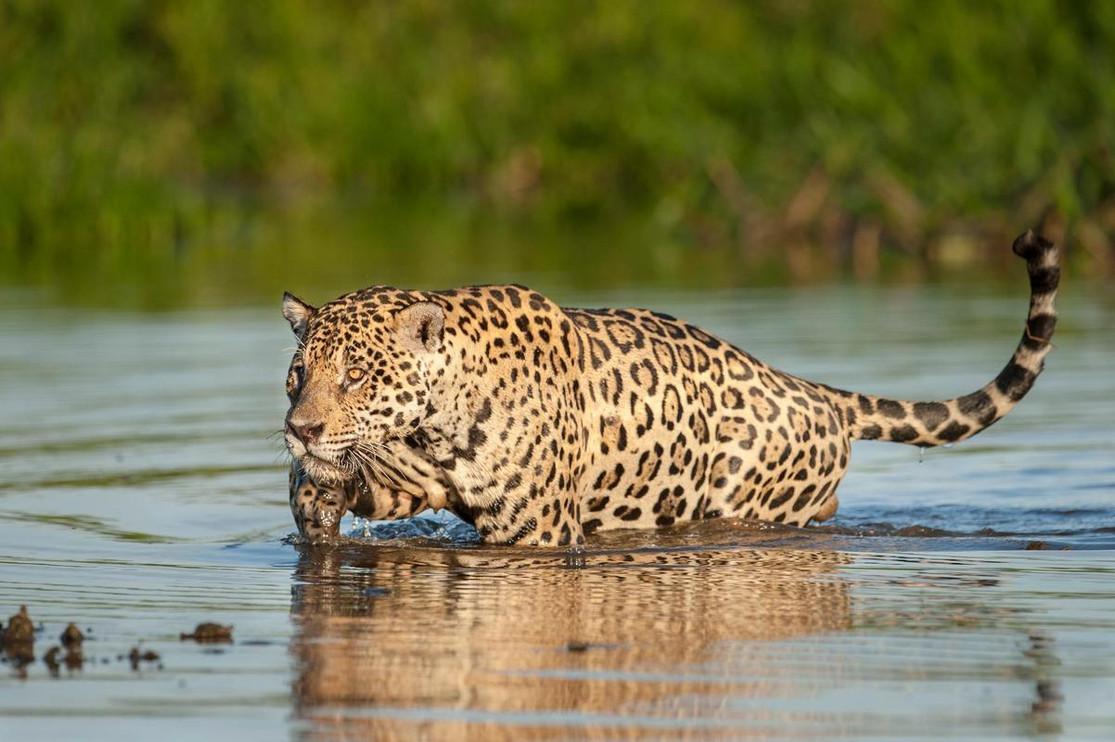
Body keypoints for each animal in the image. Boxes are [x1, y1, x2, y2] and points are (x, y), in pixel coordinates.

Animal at [283, 230, 1058, 547]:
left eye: (356, 375)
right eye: (298, 378)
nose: (301, 429)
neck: (438, 421)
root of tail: (813, 390)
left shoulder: (533, 533)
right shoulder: (414, 476)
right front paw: (315, 497)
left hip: (744, 503)